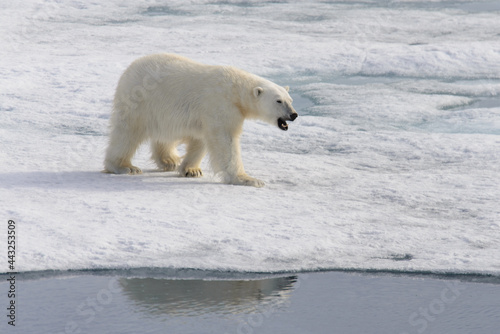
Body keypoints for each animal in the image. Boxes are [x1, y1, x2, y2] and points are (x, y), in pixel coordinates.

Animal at [102, 53, 296, 187]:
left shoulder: (207, 114)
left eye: (290, 100)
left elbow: (201, 139)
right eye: (278, 101)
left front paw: (191, 170)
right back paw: (125, 166)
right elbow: (225, 141)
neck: (235, 89)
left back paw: (170, 160)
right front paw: (248, 179)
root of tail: (129, 69)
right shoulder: (220, 106)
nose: (293, 114)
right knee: (127, 133)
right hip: (140, 101)